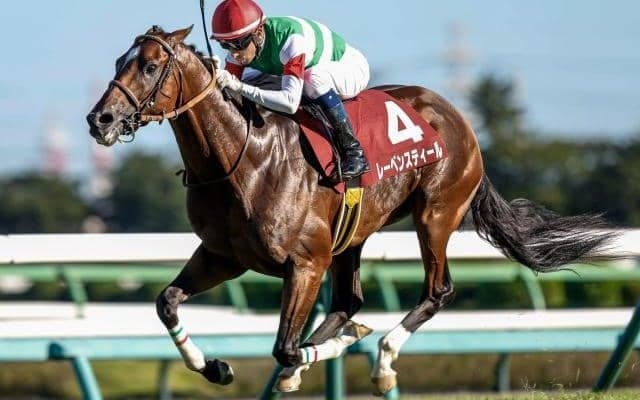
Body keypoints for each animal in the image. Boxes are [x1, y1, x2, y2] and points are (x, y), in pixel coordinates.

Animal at [86, 26, 615, 395]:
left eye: (150, 66)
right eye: (119, 61)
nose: (100, 119)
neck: (243, 157)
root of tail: (455, 114)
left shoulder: (305, 262)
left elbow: (284, 346)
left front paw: (320, 353)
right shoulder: (224, 255)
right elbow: (166, 302)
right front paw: (214, 366)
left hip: (435, 213)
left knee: (436, 290)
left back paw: (381, 359)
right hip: (353, 235)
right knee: (349, 302)